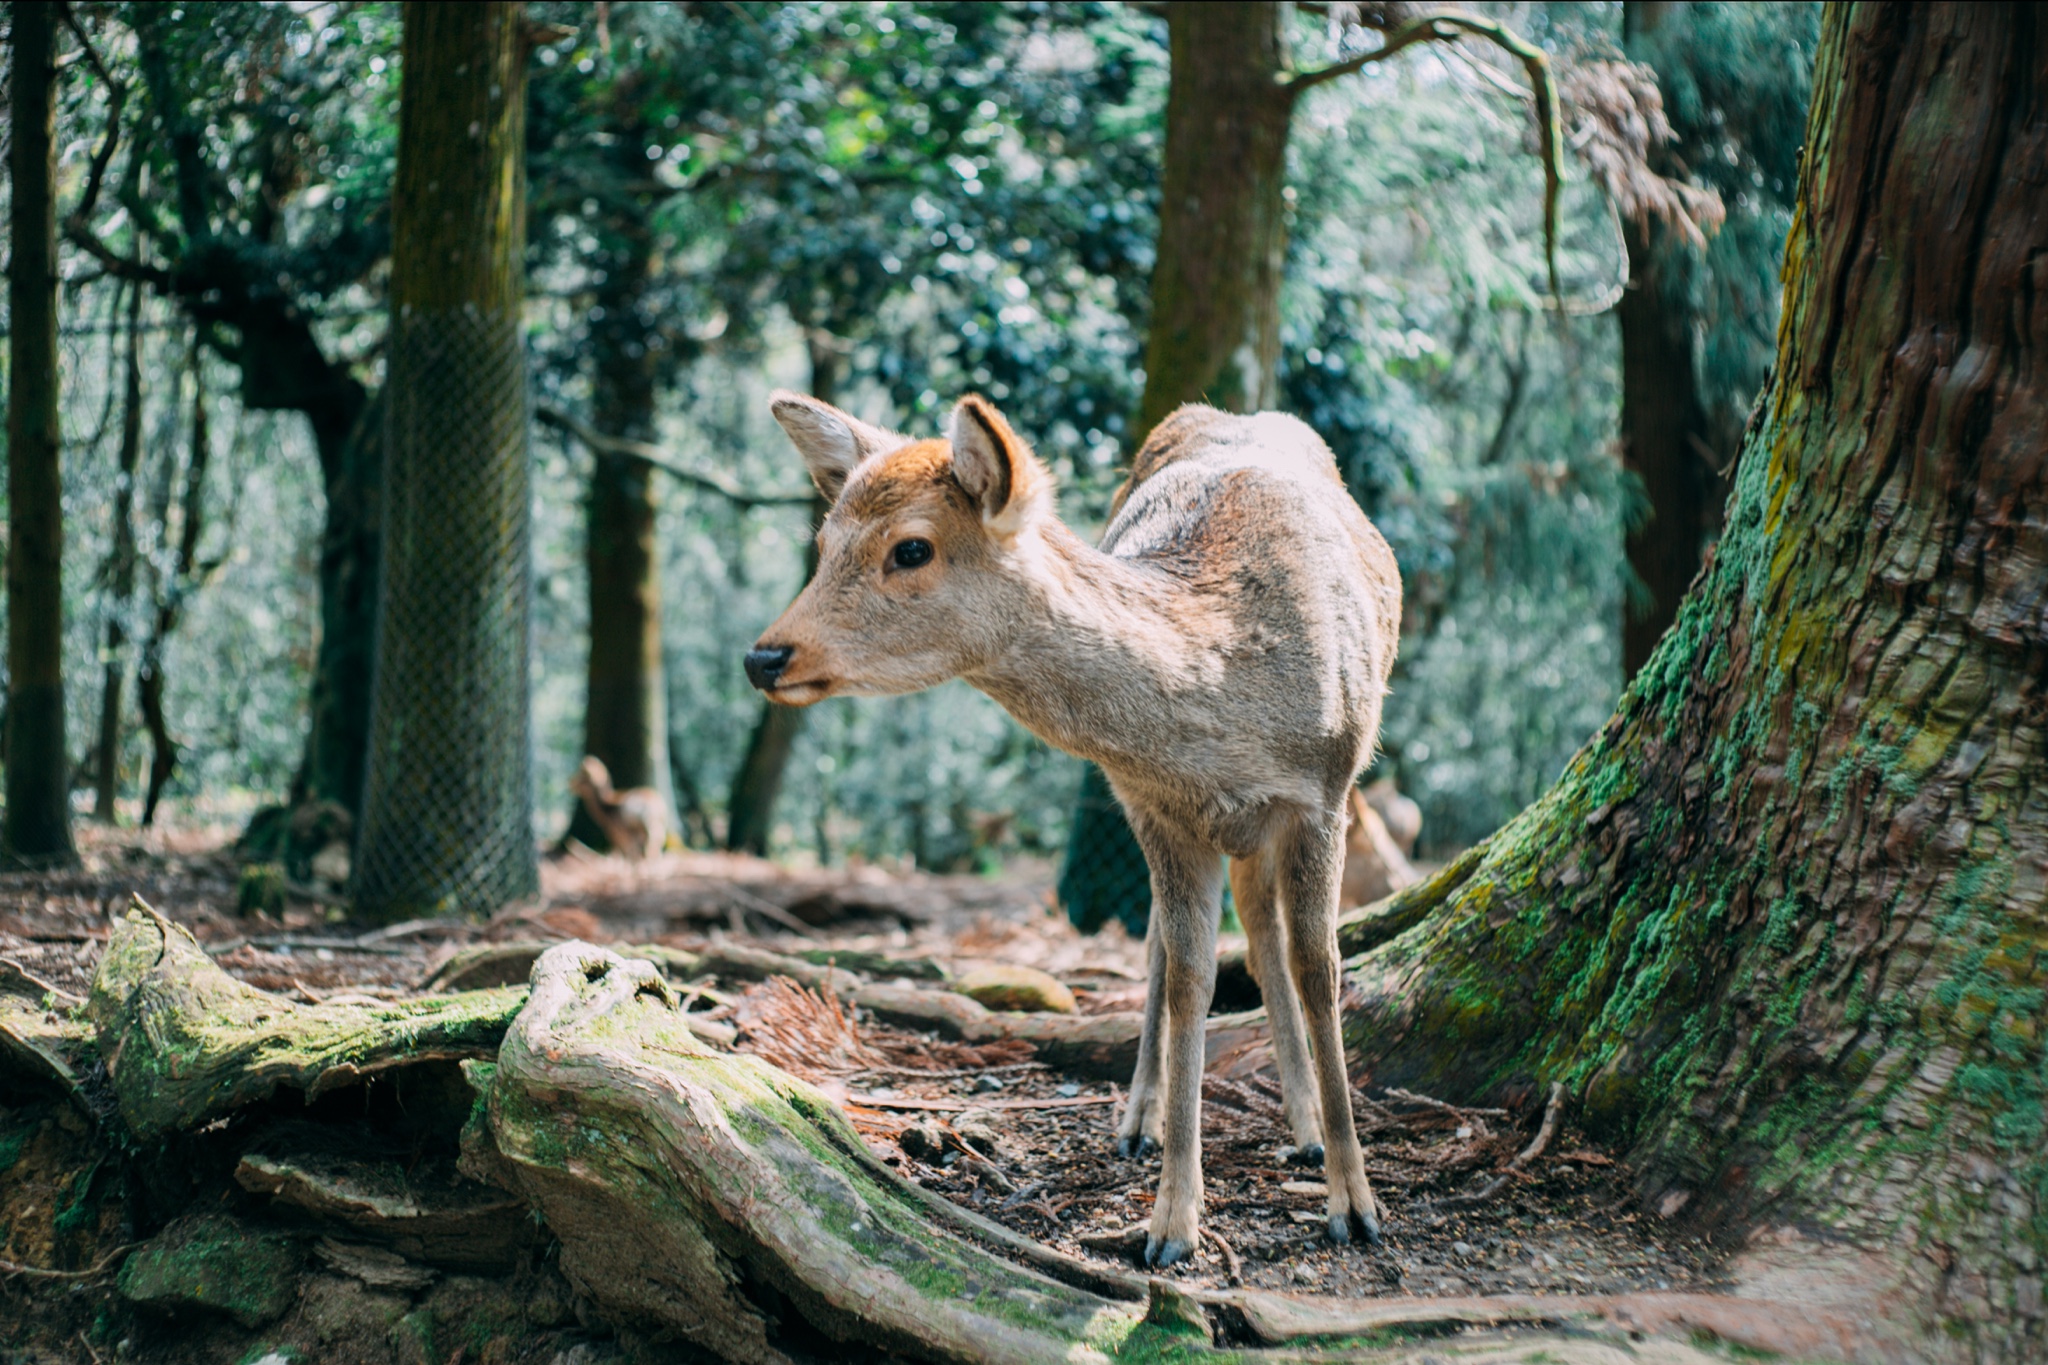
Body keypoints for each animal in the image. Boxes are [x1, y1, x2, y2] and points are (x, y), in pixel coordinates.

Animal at [745, 388, 1400, 1268]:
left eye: (911, 547)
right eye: (822, 543)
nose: (764, 656)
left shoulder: (1324, 793)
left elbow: (1320, 968)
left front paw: (1356, 1204)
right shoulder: (1157, 805)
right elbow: (1192, 977)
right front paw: (1170, 1224)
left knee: (1263, 937)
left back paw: (1300, 1127)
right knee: (1169, 946)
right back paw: (1141, 1122)